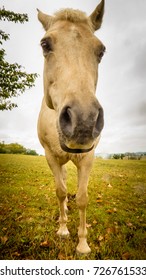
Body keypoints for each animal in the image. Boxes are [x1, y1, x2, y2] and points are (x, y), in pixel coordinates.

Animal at [36, 0, 105, 254]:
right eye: (45, 44)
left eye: (101, 51)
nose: (83, 120)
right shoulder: (50, 157)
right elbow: (61, 191)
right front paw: (64, 230)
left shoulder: (88, 156)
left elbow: (83, 197)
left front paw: (83, 244)